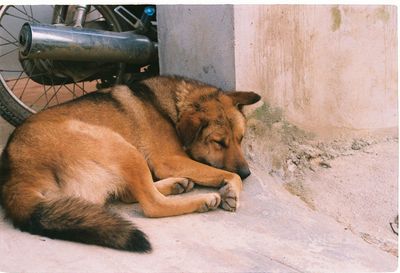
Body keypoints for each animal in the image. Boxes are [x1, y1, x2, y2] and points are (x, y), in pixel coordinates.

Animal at [0, 74, 260, 251]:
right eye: (219, 143)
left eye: (240, 139)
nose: (247, 173)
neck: (173, 106)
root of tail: (16, 175)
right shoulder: (170, 160)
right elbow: (229, 175)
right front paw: (232, 189)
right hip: (121, 146)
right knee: (152, 204)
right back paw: (201, 199)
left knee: (129, 192)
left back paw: (176, 184)